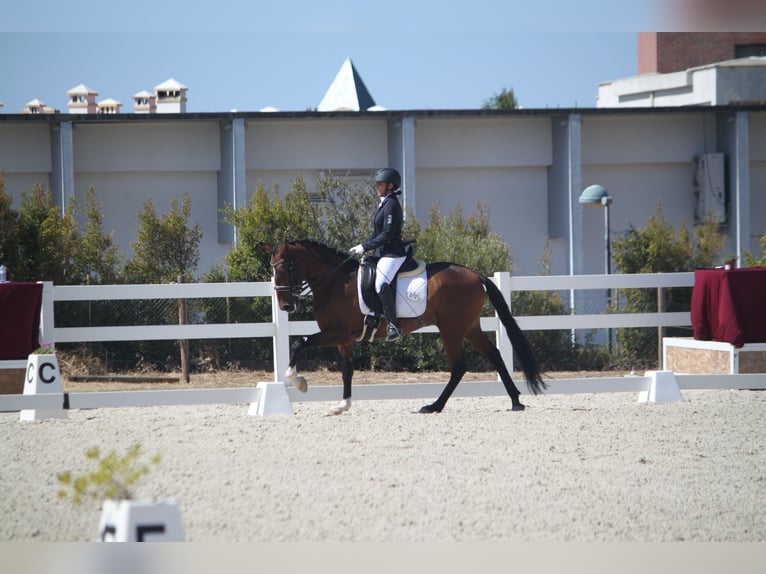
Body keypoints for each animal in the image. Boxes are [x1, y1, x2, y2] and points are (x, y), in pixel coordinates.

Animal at [270, 241, 544, 416]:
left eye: (286, 268)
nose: (285, 306)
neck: (336, 283)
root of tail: (477, 275)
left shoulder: (337, 332)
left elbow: (300, 342)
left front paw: (298, 381)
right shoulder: (343, 339)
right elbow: (347, 371)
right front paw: (341, 406)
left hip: (451, 329)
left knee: (459, 367)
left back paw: (433, 407)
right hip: (469, 327)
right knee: (495, 356)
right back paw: (515, 401)